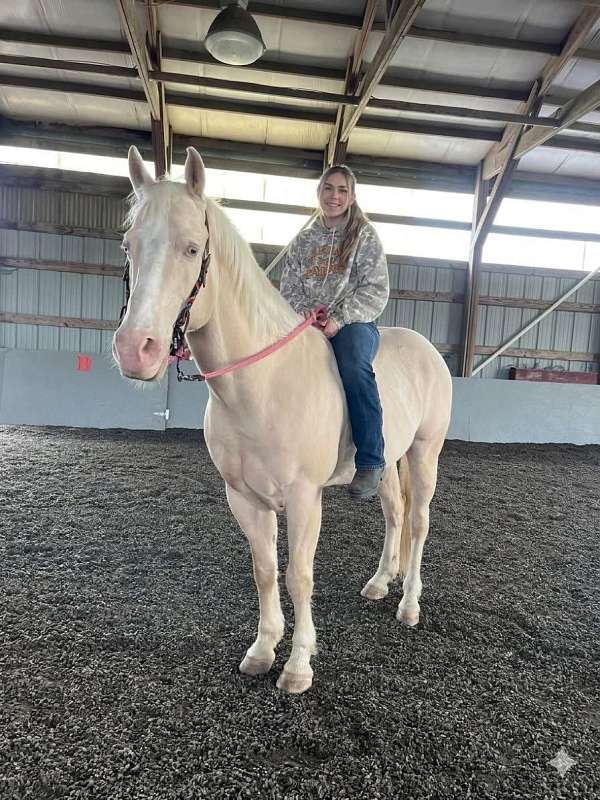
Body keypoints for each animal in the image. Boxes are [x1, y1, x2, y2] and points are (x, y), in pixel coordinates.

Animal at [113, 146, 453, 694]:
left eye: (192, 249)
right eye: (130, 244)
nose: (134, 349)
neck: (262, 388)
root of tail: (427, 350)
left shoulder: (303, 498)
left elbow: (299, 576)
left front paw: (297, 666)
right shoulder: (244, 497)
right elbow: (265, 569)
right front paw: (262, 650)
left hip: (426, 453)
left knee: (419, 522)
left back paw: (409, 605)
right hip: (387, 462)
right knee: (395, 514)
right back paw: (380, 583)